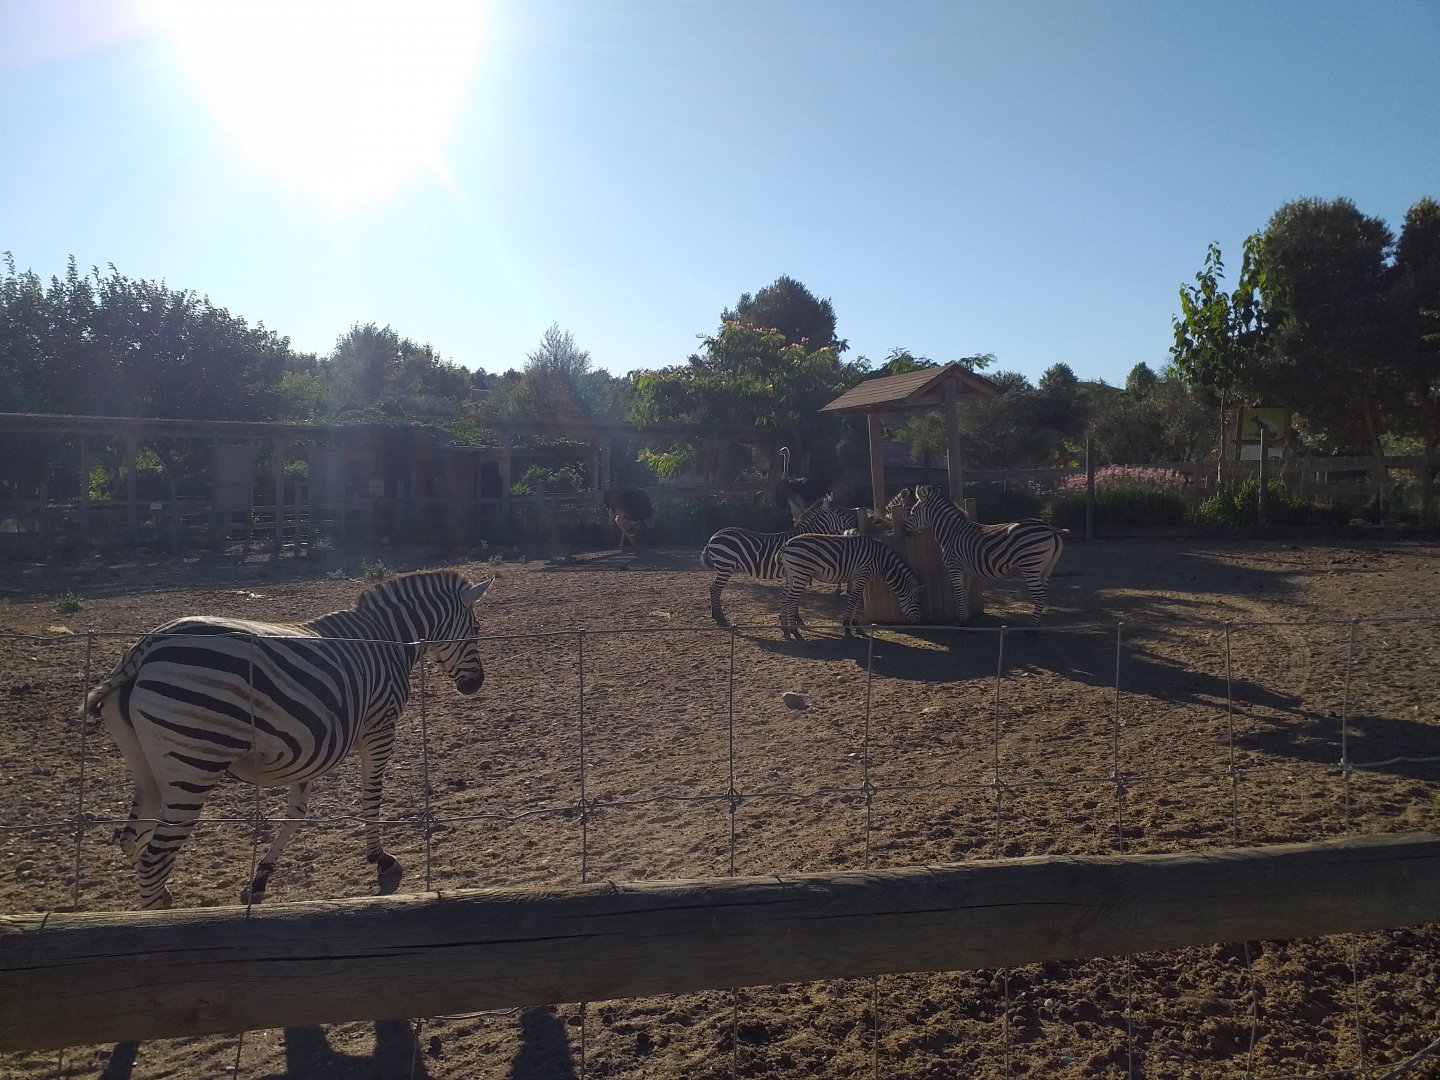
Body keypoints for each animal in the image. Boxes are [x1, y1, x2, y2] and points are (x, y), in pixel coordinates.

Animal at [86, 569, 491, 910]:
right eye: (475, 627)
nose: (476, 685)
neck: (386, 638)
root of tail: (148, 646)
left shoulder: (314, 744)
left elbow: (296, 814)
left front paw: (261, 878)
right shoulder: (379, 727)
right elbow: (371, 797)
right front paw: (380, 858)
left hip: (148, 768)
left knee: (132, 841)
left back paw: (163, 899)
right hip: (194, 763)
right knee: (154, 859)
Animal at [701, 497, 852, 626]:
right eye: (839, 511)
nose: (855, 519)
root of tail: (713, 536)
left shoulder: (793, 572)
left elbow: (791, 595)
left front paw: (788, 618)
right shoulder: (799, 571)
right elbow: (795, 596)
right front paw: (797, 619)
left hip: (724, 566)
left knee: (713, 589)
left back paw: (716, 617)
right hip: (725, 565)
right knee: (715, 589)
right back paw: (721, 619)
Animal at [775, 533, 924, 640]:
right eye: (917, 602)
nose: (918, 623)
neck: (882, 563)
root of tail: (786, 544)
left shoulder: (858, 578)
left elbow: (858, 601)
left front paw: (858, 627)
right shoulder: (863, 574)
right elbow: (853, 600)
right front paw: (847, 627)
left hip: (792, 574)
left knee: (784, 597)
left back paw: (785, 628)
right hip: (801, 573)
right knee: (792, 599)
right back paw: (795, 631)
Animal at [904, 483, 1065, 628]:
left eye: (913, 511)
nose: (903, 531)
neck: (951, 533)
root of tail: (1050, 528)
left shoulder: (954, 566)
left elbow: (958, 594)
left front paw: (962, 623)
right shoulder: (966, 570)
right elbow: (965, 593)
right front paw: (967, 618)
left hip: (1030, 566)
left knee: (1040, 597)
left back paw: (1031, 628)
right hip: (1046, 569)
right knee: (1043, 596)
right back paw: (1038, 624)